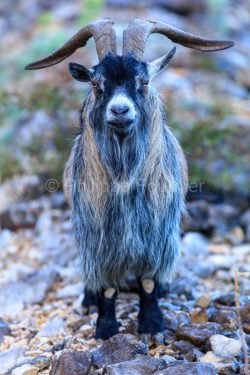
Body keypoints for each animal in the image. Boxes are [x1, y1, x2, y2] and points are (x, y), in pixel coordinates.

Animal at [24, 19, 233, 342]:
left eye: (143, 82)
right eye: (96, 84)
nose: (120, 110)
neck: (124, 179)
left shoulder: (157, 236)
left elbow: (147, 282)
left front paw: (152, 324)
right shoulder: (99, 240)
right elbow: (107, 287)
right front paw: (106, 328)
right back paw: (88, 299)